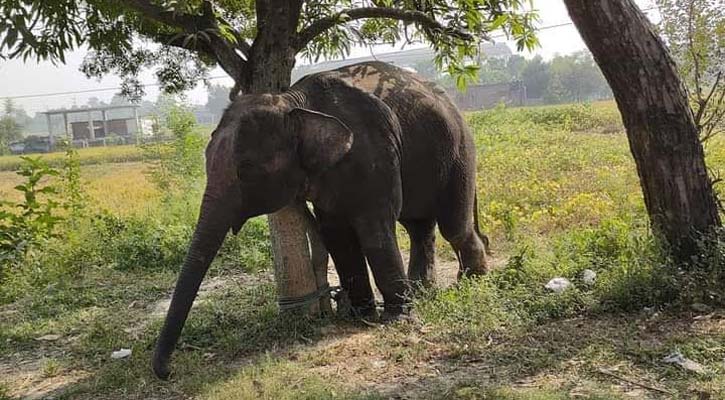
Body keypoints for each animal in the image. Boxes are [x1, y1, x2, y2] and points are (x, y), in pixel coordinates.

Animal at [153, 61, 492, 378]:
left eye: (246, 170)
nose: (168, 370)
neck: (293, 102)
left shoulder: (374, 153)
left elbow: (374, 229)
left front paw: (396, 319)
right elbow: (336, 234)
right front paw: (359, 315)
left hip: (459, 152)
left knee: (454, 227)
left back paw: (471, 283)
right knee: (419, 226)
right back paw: (423, 291)